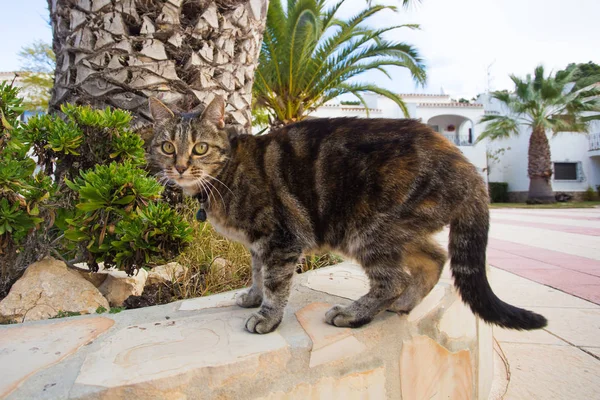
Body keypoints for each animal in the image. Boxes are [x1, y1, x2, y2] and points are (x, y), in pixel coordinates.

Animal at [148, 95, 548, 332]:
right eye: (167, 146)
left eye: (199, 148)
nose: (180, 167)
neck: (224, 174)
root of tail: (468, 166)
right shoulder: (258, 244)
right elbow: (258, 273)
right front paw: (253, 296)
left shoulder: (280, 238)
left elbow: (275, 282)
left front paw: (267, 316)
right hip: (403, 230)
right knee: (434, 259)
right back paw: (401, 305)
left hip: (367, 230)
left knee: (393, 279)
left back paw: (356, 313)